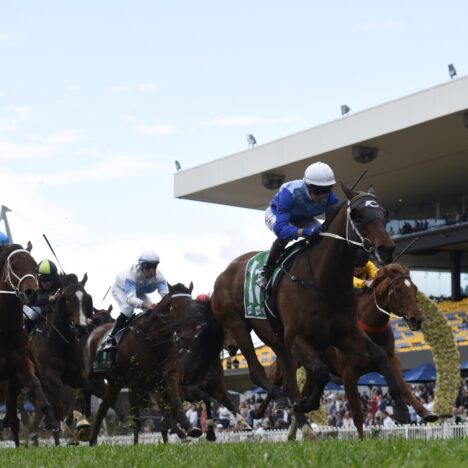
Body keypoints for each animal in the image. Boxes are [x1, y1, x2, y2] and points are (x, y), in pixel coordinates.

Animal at [0, 243, 59, 444]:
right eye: (14, 265)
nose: (31, 293)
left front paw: (51, 420)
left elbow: (35, 384)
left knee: (14, 419)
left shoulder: (20, 367)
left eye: (34, 265)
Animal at [28, 274, 93, 446]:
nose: (81, 328)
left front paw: (78, 425)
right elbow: (68, 395)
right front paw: (74, 423)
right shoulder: (49, 374)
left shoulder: (75, 374)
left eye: (87, 299)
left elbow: (84, 391)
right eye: (68, 299)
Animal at [84, 284, 203, 444]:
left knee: (103, 408)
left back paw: (93, 440)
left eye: (193, 308)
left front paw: (189, 429)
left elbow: (174, 403)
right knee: (89, 392)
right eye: (175, 308)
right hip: (95, 375)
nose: (187, 336)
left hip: (115, 383)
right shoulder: (137, 382)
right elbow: (140, 416)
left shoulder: (168, 376)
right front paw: (136, 444)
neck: (153, 338)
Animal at [211, 184, 410, 438]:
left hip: (277, 341)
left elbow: (380, 355)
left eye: (384, 213)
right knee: (258, 372)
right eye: (357, 215)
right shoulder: (297, 338)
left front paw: (402, 408)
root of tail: (224, 272)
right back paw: (277, 403)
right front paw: (305, 404)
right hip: (237, 325)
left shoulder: (344, 334)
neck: (323, 281)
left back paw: (301, 426)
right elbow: (321, 371)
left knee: (288, 382)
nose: (386, 249)